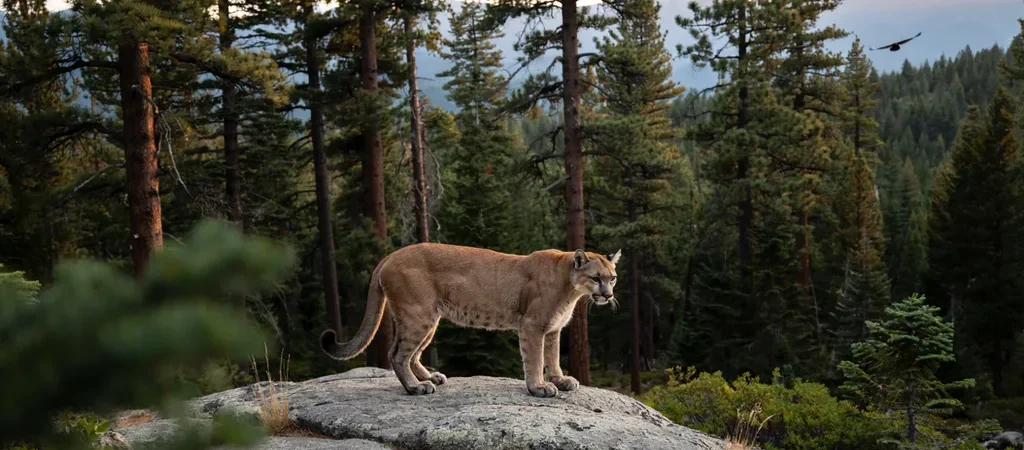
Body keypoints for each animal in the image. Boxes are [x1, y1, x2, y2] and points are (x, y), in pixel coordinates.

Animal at [319, 243, 621, 397]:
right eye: (596, 278)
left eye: (613, 278)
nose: (608, 295)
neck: (571, 287)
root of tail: (391, 255)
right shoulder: (533, 325)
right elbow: (535, 359)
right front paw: (538, 387)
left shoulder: (553, 329)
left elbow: (553, 356)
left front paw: (560, 380)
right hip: (418, 313)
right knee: (396, 354)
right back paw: (416, 387)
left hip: (429, 318)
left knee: (411, 353)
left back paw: (430, 377)